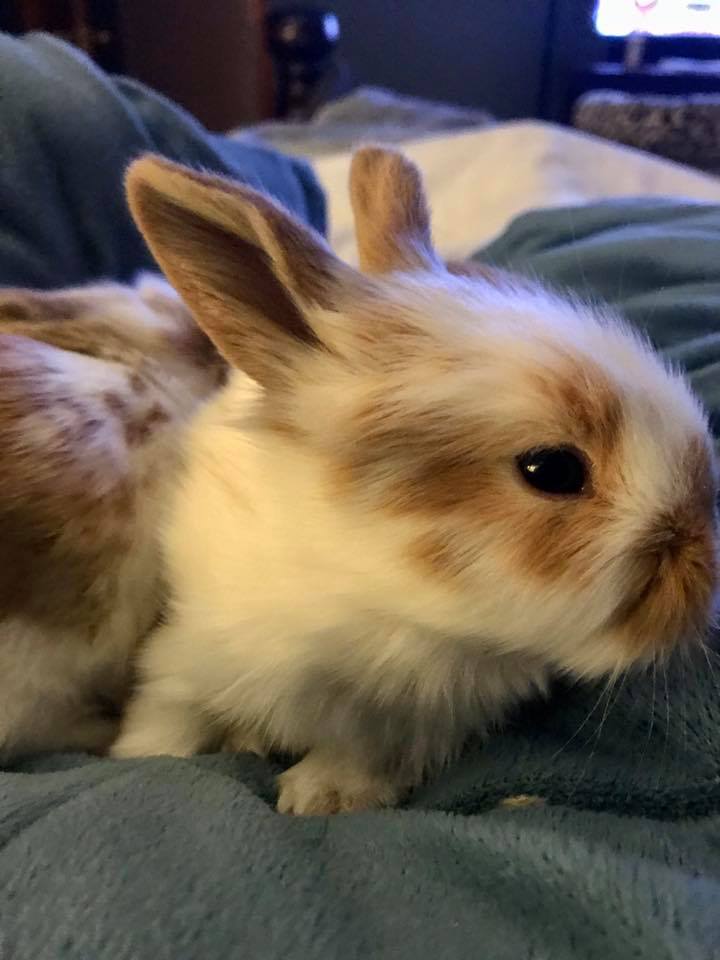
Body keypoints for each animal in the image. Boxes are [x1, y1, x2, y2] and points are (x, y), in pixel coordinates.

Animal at [111, 147, 718, 815]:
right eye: (553, 470)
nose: (702, 575)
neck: (378, 606)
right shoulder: (188, 656)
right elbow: (169, 722)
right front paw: (140, 760)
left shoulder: (410, 724)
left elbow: (362, 759)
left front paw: (318, 797)